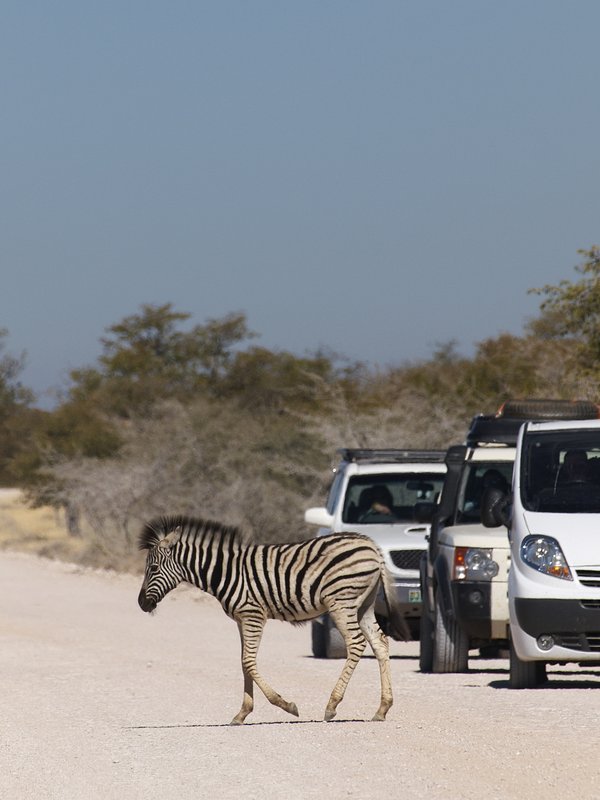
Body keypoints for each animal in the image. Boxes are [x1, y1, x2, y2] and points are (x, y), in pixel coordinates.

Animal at [137, 515, 410, 724]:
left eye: (153, 569)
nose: (141, 604)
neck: (225, 572)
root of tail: (371, 545)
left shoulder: (253, 614)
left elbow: (248, 662)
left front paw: (286, 705)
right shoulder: (241, 619)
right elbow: (243, 661)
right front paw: (242, 713)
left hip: (342, 601)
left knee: (356, 643)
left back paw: (332, 705)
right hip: (364, 604)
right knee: (380, 643)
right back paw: (382, 708)